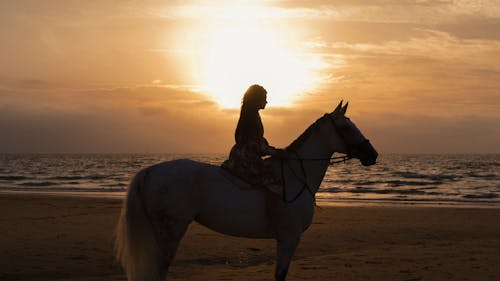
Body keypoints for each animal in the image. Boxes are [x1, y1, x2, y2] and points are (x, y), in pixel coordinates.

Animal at [114, 100, 378, 280]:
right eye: (346, 127)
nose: (372, 154)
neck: (297, 175)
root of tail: (149, 172)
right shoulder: (290, 238)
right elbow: (280, 275)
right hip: (170, 231)